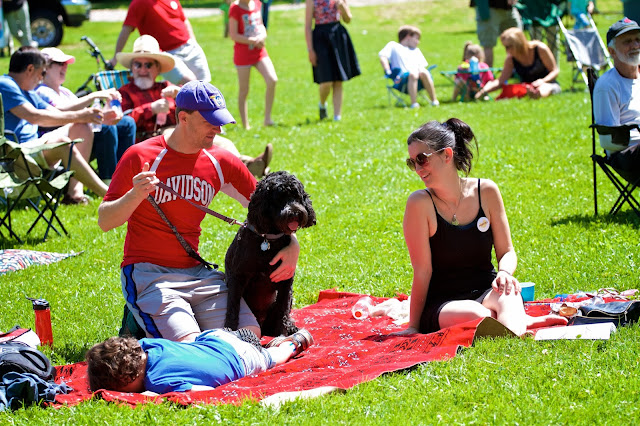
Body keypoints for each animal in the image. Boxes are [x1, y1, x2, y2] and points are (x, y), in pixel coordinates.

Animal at [224, 171, 316, 338]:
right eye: (279, 197)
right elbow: (233, 307)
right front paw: (229, 329)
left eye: (297, 195)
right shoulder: (237, 278)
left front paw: (283, 336)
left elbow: (283, 311)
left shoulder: (286, 283)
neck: (269, 240)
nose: (295, 212)